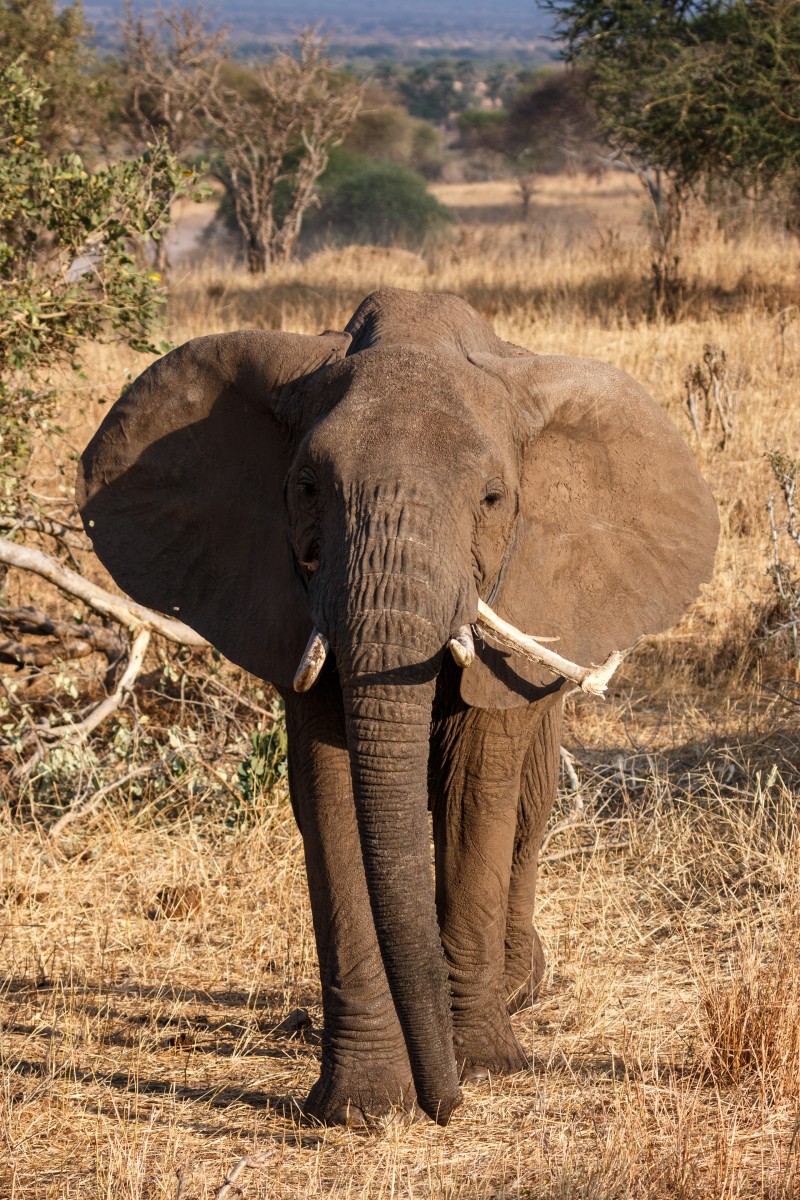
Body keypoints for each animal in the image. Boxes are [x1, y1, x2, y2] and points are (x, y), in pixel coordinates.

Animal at [76, 288, 719, 1123]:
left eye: (492, 500)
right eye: (307, 488)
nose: (445, 1106)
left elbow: (477, 789)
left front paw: (482, 1067)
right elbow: (331, 793)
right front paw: (366, 1107)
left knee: (526, 799)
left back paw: (519, 989)